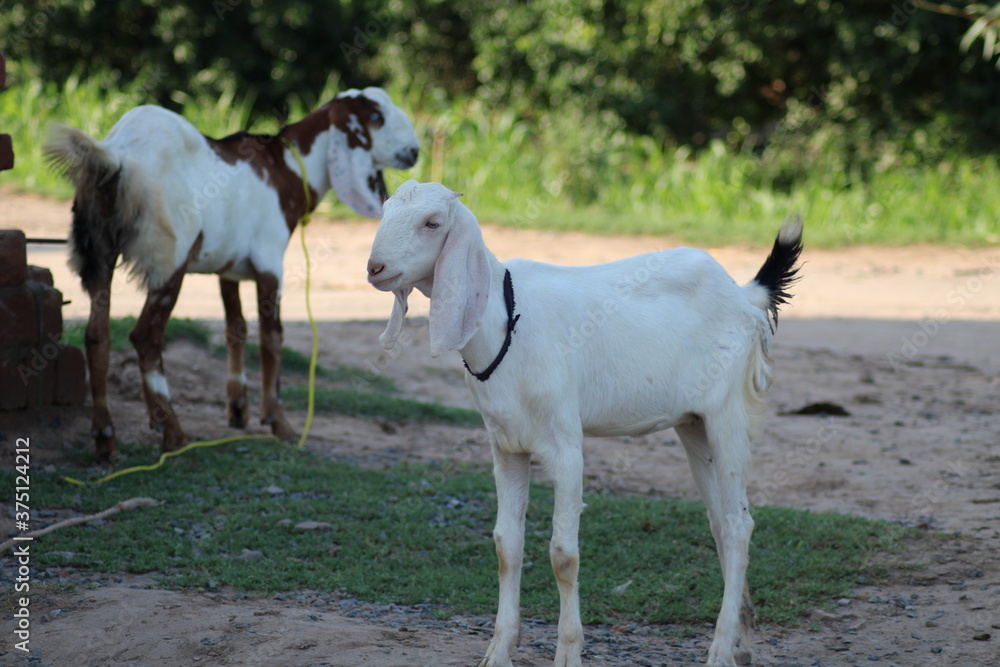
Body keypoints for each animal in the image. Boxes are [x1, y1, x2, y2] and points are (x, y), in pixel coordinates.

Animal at [45, 87, 420, 464]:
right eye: (376, 118)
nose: (414, 152)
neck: (284, 168)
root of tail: (116, 156)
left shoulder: (229, 269)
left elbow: (236, 329)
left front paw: (238, 409)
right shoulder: (270, 262)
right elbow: (272, 337)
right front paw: (279, 423)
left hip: (97, 253)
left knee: (97, 336)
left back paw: (106, 439)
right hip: (168, 259)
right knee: (145, 336)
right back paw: (172, 433)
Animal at [368, 180, 804, 664]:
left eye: (433, 223)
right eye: (385, 209)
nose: (375, 267)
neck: (505, 320)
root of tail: (744, 295)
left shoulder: (565, 447)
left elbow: (563, 554)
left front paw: (568, 652)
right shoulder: (506, 446)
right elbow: (506, 546)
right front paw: (498, 651)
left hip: (727, 413)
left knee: (739, 526)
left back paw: (720, 649)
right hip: (694, 424)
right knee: (722, 524)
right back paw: (741, 645)